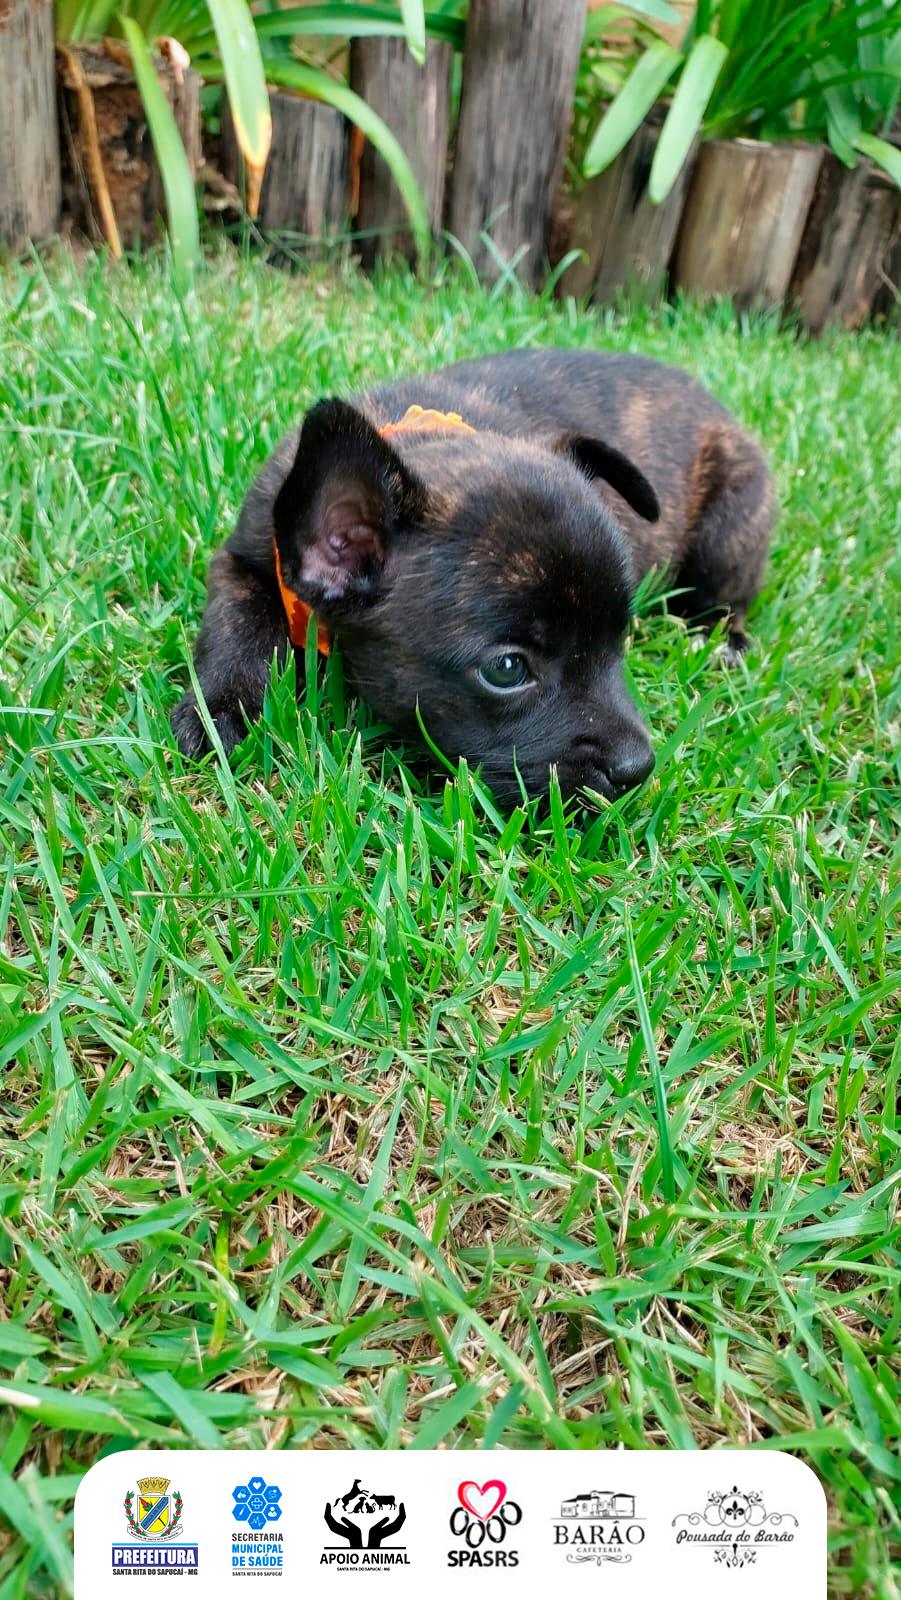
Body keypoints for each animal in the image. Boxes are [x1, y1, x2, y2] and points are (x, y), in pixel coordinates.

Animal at [173, 350, 772, 807]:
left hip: (731, 528)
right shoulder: (245, 560)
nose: (636, 767)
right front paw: (218, 708)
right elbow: (237, 623)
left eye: (620, 640)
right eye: (507, 670)